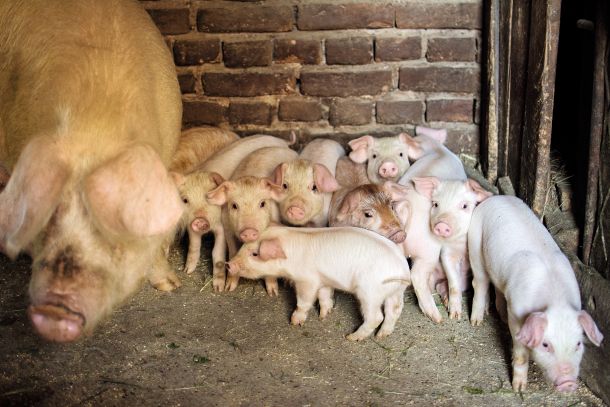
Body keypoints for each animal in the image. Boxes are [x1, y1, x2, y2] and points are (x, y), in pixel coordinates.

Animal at [226, 226, 410, 342]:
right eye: (243, 246)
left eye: (255, 254)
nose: (229, 264)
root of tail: (402, 269)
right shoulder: (323, 280)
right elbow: (324, 296)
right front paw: (323, 316)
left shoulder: (307, 280)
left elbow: (304, 301)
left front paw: (295, 322)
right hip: (395, 292)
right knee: (394, 310)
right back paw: (382, 336)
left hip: (370, 292)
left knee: (376, 316)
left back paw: (351, 337)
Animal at [468, 196, 600, 394]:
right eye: (546, 345)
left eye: (578, 344)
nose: (568, 383)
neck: (555, 299)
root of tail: (495, 197)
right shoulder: (517, 314)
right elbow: (521, 354)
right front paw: (519, 389)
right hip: (475, 244)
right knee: (480, 282)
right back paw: (476, 322)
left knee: (497, 288)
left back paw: (500, 316)